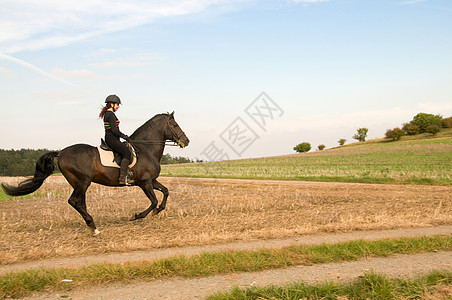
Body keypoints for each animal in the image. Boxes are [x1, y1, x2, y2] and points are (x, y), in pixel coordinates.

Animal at [1, 111, 189, 236]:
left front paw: (158, 211)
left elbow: (165, 192)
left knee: (79, 203)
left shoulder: (152, 181)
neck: (145, 149)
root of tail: (61, 152)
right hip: (82, 182)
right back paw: (94, 226)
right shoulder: (144, 183)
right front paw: (137, 216)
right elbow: (154, 200)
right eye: (175, 125)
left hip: (80, 184)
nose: (186, 141)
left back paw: (92, 226)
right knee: (74, 201)